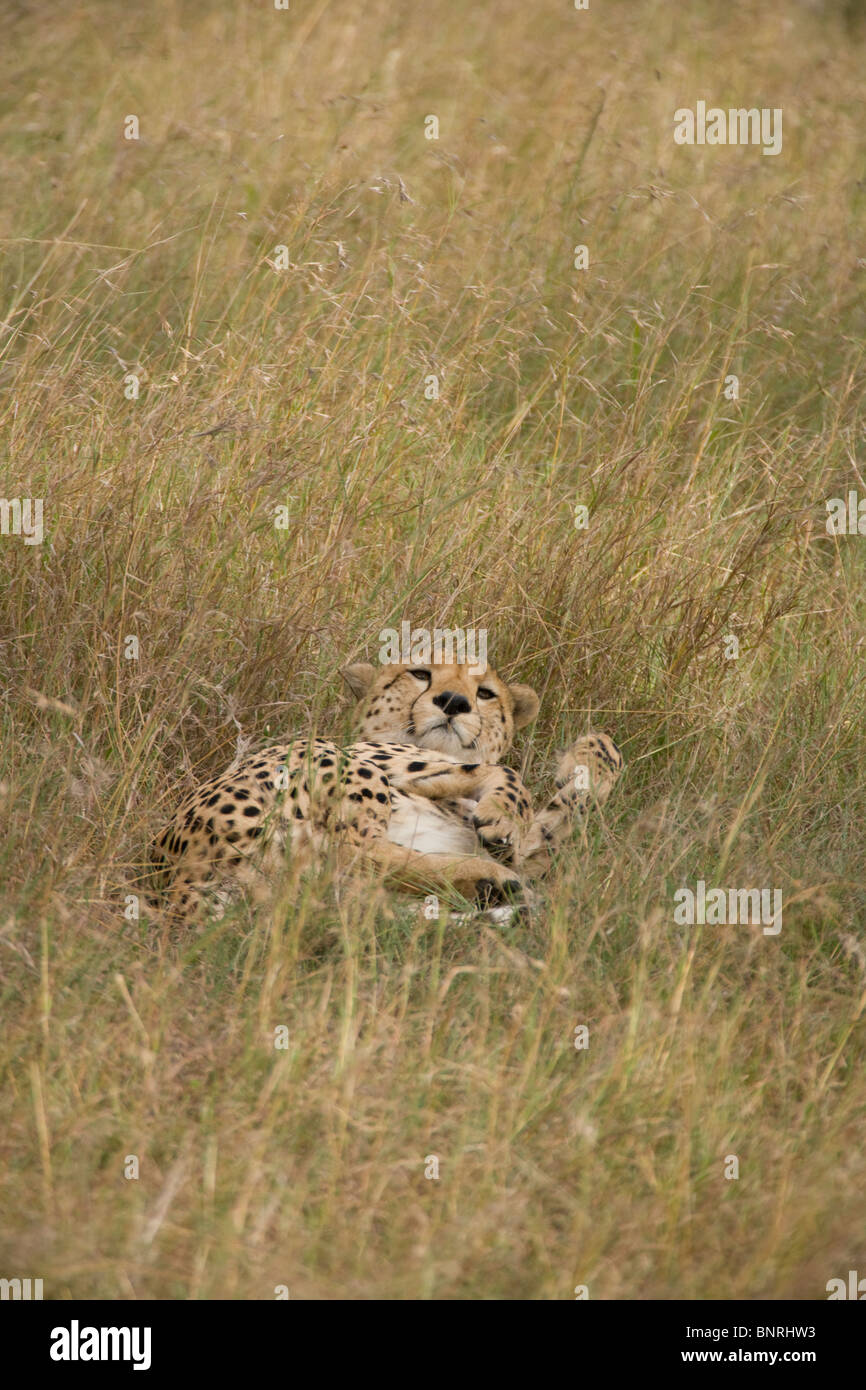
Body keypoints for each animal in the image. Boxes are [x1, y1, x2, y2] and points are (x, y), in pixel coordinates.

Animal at [150, 658, 622, 922]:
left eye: (486, 693)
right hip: (337, 767)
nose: (454, 702)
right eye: (420, 674)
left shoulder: (531, 855)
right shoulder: (389, 758)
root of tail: (177, 882)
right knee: (355, 853)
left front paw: (585, 765)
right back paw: (490, 880)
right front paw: (505, 812)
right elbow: (501, 771)